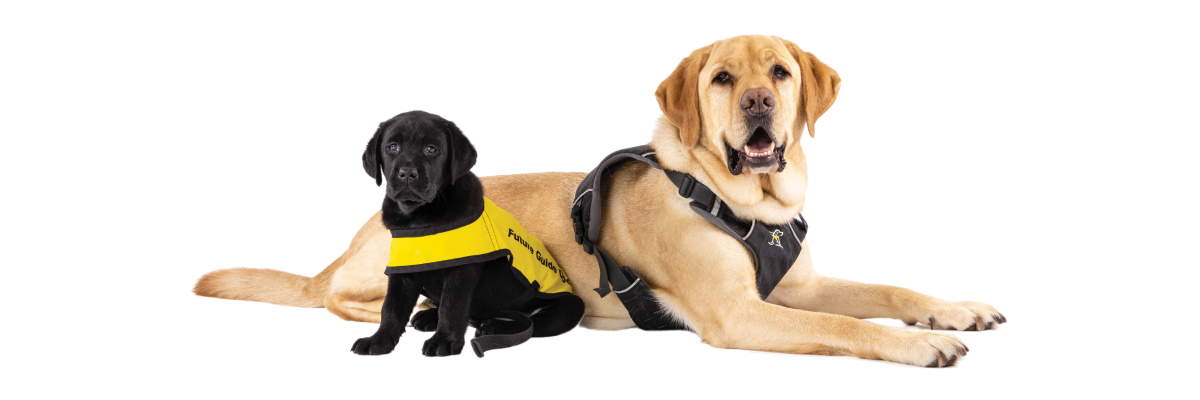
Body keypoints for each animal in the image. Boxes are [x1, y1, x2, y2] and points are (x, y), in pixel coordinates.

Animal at [350, 110, 583, 355]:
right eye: (392, 147)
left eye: (431, 149)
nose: (406, 173)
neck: (419, 217)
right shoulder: (402, 269)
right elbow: (391, 308)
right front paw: (379, 340)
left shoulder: (461, 271)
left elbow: (452, 306)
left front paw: (444, 341)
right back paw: (430, 316)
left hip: (570, 306)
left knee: (531, 322)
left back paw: (494, 327)